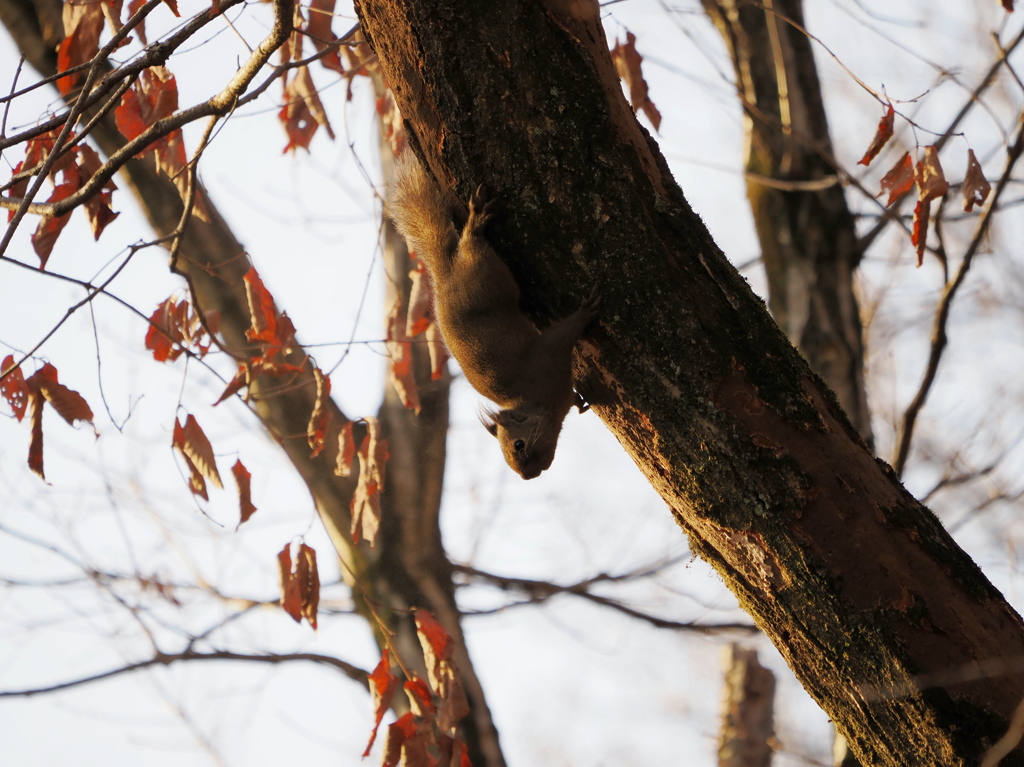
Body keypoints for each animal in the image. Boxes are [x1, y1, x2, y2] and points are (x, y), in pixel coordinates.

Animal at [389, 151, 598, 479]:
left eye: (519, 445)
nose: (528, 475)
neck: (536, 401)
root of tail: (444, 272)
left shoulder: (547, 356)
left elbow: (564, 334)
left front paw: (584, 313)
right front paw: (579, 400)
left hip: (482, 268)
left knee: (471, 242)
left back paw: (476, 220)